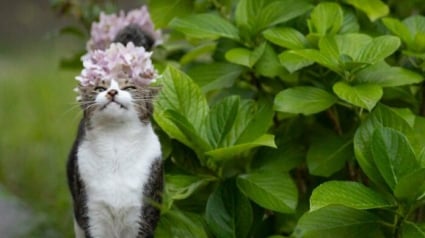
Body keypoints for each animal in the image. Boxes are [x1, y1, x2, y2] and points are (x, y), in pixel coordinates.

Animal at [68, 26, 162, 238]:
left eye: (130, 86)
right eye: (99, 87)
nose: (112, 92)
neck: (116, 142)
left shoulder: (143, 216)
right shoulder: (91, 215)